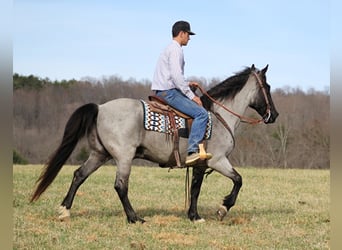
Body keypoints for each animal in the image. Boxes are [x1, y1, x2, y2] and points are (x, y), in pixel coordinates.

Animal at [30, 64, 278, 223]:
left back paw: (64, 210)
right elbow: (237, 180)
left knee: (79, 175)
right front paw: (221, 209)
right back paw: (134, 218)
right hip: (124, 157)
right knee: (120, 186)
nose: (273, 115)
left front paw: (194, 215)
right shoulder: (216, 160)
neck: (217, 117)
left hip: (99, 154)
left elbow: (196, 189)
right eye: (267, 87)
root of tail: (100, 108)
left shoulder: (200, 164)